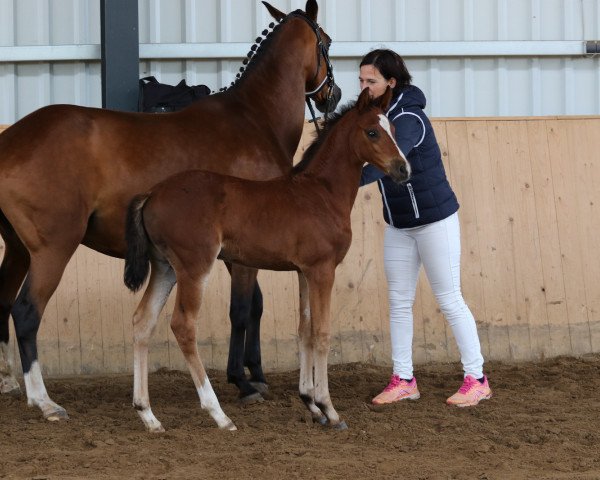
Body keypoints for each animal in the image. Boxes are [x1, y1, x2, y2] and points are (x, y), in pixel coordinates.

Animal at [0, 0, 340, 420]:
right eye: (327, 41)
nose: (334, 95)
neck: (254, 119)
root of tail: (11, 140)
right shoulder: (241, 255)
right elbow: (242, 309)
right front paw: (242, 382)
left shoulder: (241, 251)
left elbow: (256, 307)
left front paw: (256, 374)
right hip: (52, 249)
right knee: (26, 312)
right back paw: (44, 401)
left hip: (18, 250)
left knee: (2, 303)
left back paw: (9, 382)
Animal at [123, 86, 410, 432]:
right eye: (371, 132)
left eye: (392, 128)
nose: (403, 170)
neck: (321, 193)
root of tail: (152, 194)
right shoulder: (322, 270)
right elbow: (322, 333)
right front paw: (329, 409)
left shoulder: (303, 271)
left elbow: (304, 329)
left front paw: (310, 403)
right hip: (194, 267)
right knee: (183, 325)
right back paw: (219, 414)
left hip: (165, 268)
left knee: (142, 322)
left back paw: (148, 415)